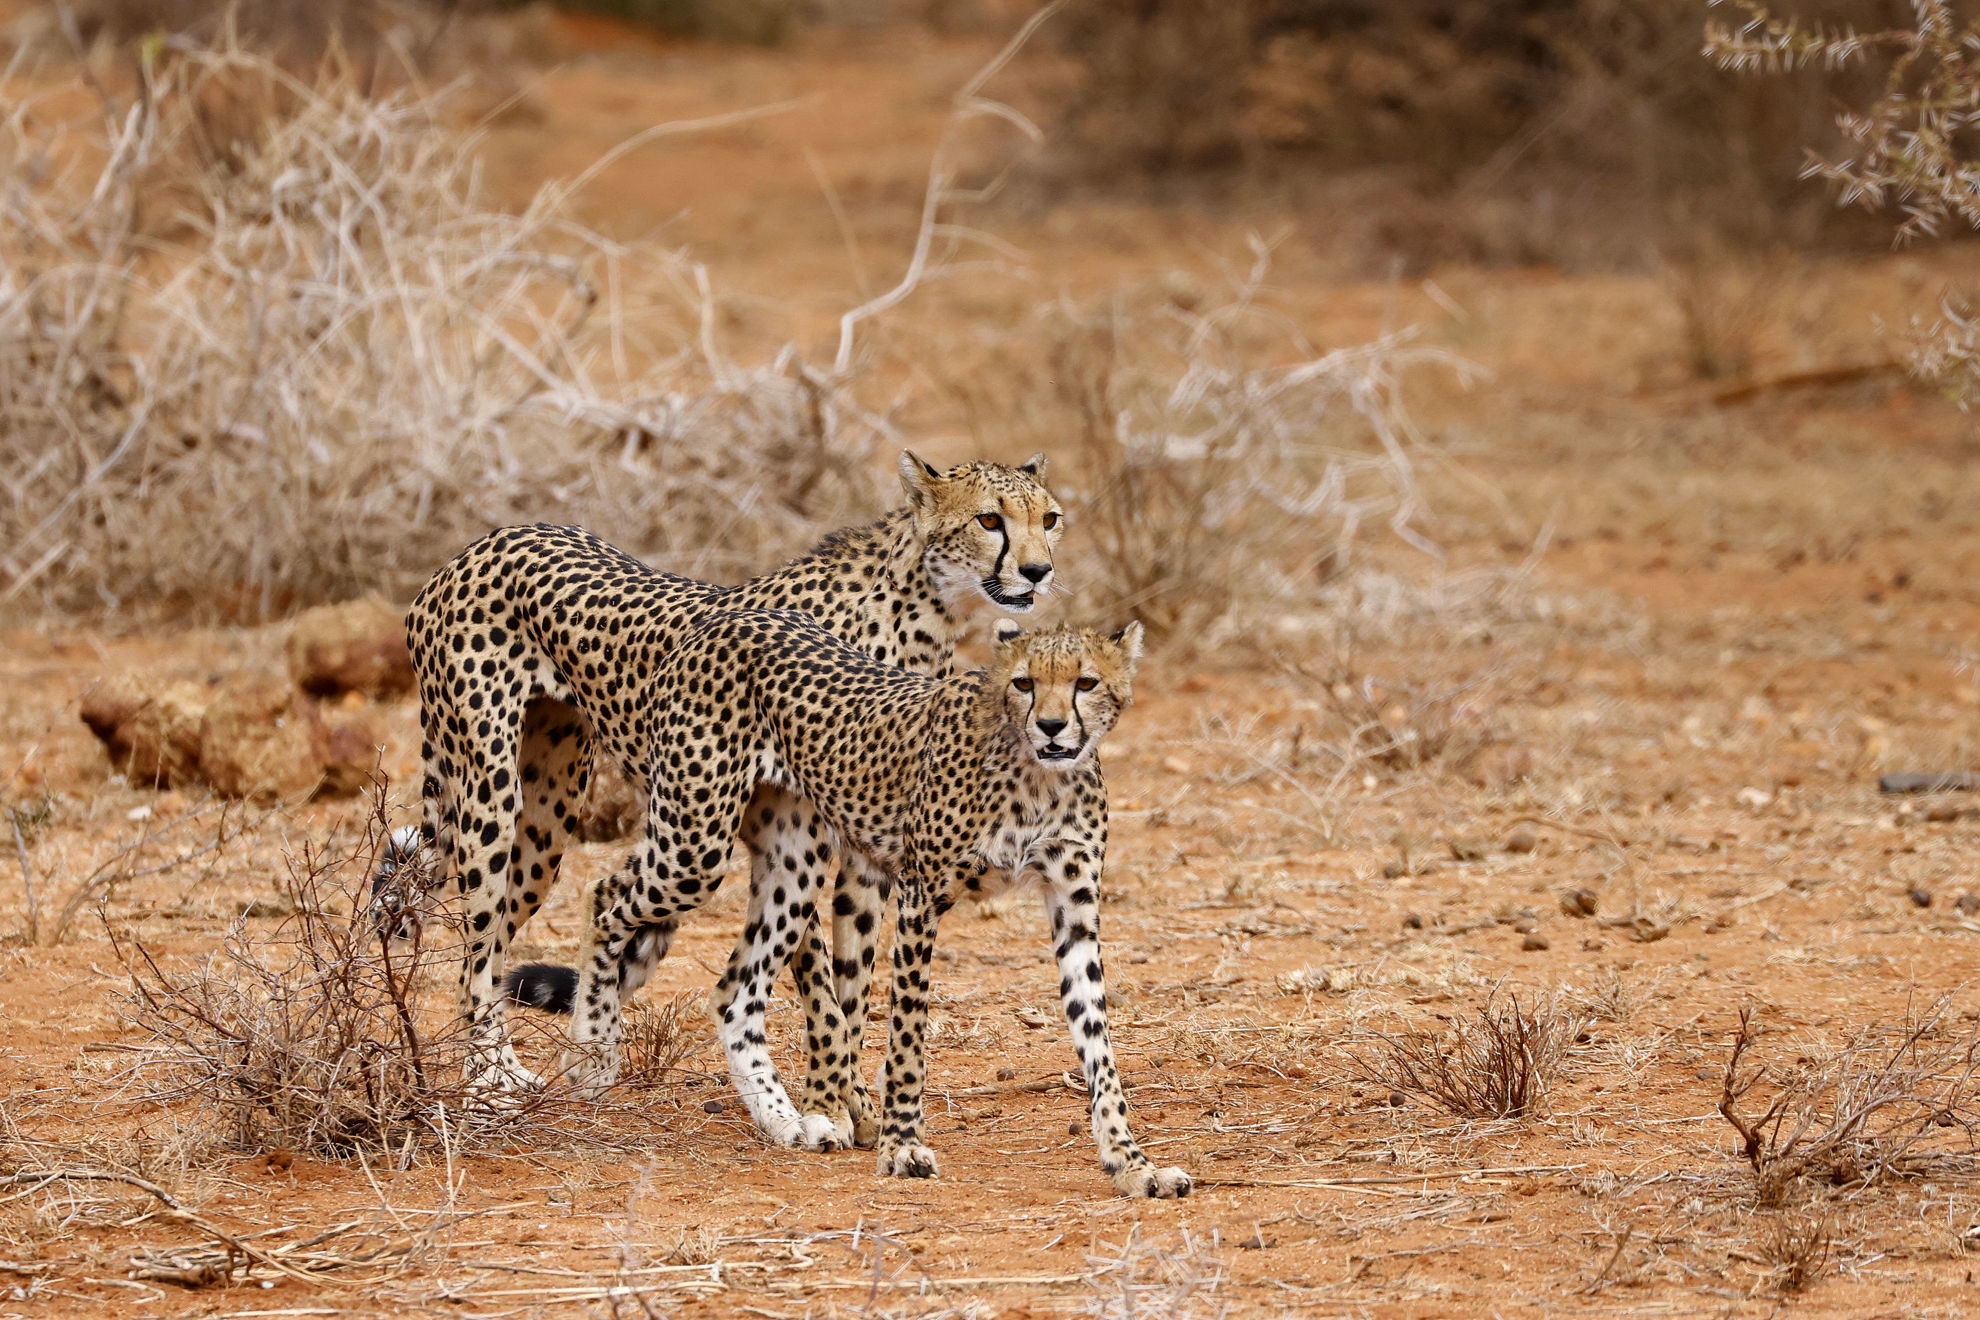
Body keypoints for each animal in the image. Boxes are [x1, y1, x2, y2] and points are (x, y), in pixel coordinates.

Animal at [392, 451, 1061, 1147]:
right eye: (989, 519)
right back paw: (493, 1079)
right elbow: (822, 989)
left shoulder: (863, 853)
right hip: (499, 796)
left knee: (513, 932)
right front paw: (829, 1101)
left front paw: (852, 1104)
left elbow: (852, 984)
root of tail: (479, 545)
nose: (1039, 570)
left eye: (1049, 518)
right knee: (489, 935)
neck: (922, 613)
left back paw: (546, 1056)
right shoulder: (809, 832)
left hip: (548, 821)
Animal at [554, 613, 1188, 1203]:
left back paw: (786, 1122)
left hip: (793, 868)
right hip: (695, 845)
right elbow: (908, 1031)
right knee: (604, 897)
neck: (1040, 776)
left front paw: (1133, 1163)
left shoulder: (1074, 908)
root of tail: (729, 613)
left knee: (735, 992)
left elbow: (1098, 1045)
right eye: (1025, 683)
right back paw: (594, 1050)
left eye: (1086, 682)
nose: (1053, 726)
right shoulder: (919, 894)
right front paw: (902, 1144)